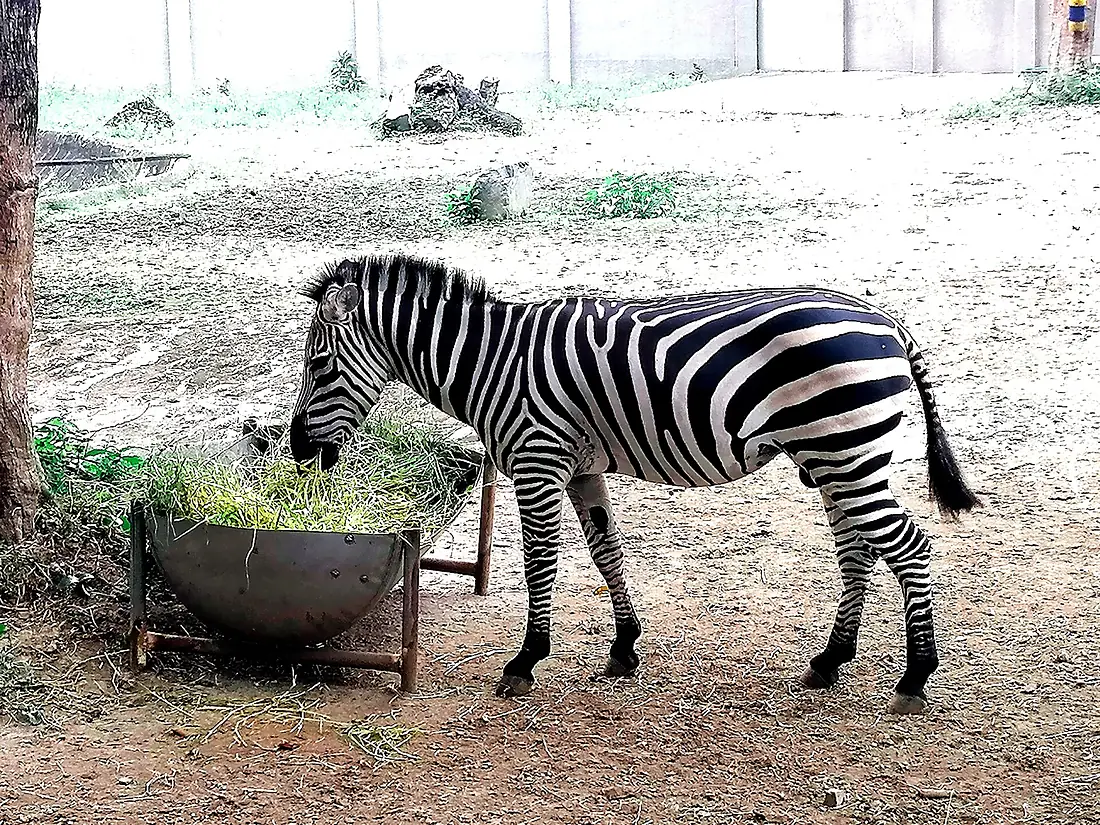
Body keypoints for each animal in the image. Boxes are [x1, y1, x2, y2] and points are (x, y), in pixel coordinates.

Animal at [288, 253, 981, 714]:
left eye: (318, 365)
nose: (299, 453)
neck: (495, 361)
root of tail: (887, 319)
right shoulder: (582, 466)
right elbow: (605, 552)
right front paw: (624, 647)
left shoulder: (538, 458)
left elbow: (541, 561)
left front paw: (525, 660)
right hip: (835, 456)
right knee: (859, 548)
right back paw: (831, 660)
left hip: (845, 448)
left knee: (907, 547)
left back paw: (915, 677)